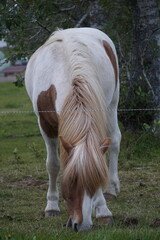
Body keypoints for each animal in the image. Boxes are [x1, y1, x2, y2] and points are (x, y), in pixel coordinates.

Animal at [24, 27, 120, 232]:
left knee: (115, 141)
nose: (81, 224)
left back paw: (112, 189)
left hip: (113, 103)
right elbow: (53, 164)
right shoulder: (45, 125)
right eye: (71, 181)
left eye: (94, 181)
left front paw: (103, 210)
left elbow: (97, 160)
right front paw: (51, 206)